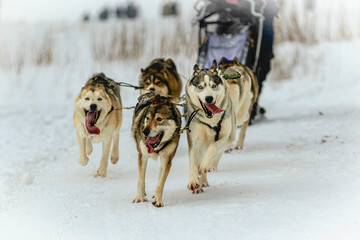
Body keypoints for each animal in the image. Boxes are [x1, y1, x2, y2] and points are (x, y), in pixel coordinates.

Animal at [186, 61, 236, 194]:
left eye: (213, 86)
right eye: (200, 87)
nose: (209, 98)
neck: (211, 121)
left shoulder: (225, 138)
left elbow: (214, 147)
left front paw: (205, 165)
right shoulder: (194, 140)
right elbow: (193, 162)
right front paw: (193, 181)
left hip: (231, 137)